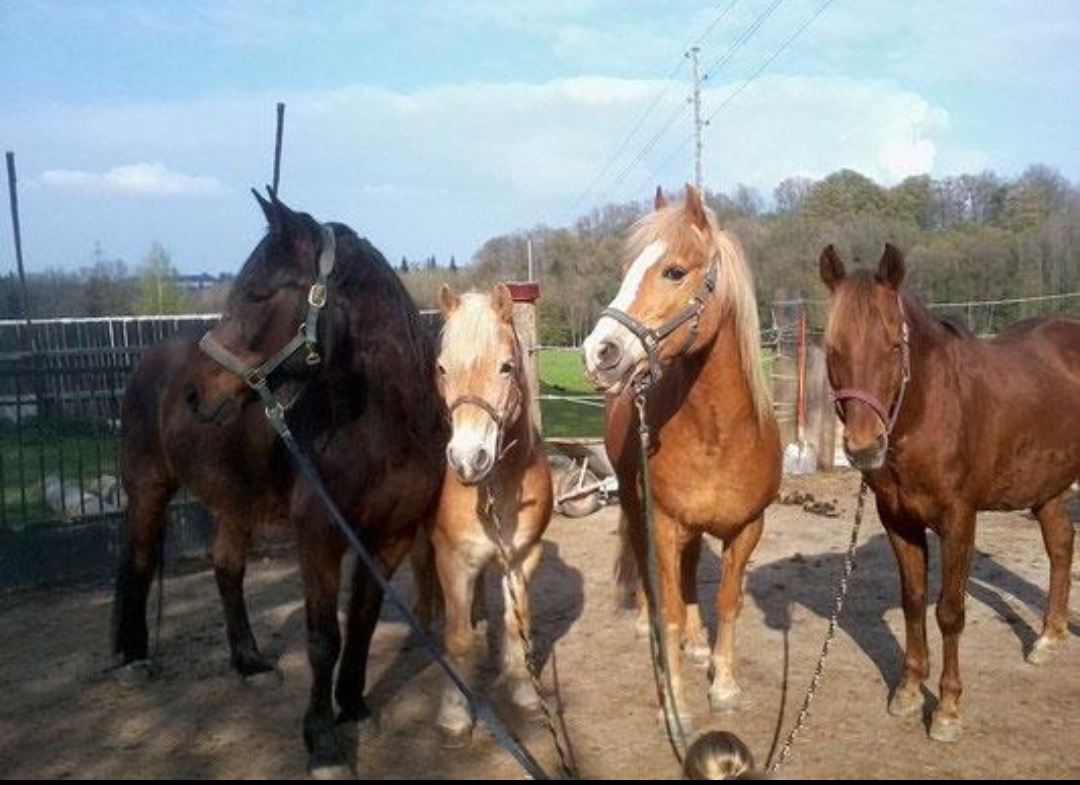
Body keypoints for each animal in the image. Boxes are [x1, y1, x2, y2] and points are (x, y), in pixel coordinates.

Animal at [112, 190, 448, 776]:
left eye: (256, 293)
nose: (196, 395)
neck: (383, 432)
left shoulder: (390, 538)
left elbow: (362, 621)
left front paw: (354, 708)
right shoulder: (319, 537)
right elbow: (323, 638)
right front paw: (322, 743)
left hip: (232, 503)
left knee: (227, 570)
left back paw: (249, 663)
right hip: (148, 490)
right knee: (138, 561)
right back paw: (134, 659)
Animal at [427, 282, 553, 746]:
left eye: (506, 367)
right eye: (441, 368)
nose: (468, 460)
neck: (497, 489)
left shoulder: (522, 558)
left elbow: (517, 624)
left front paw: (523, 692)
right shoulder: (452, 558)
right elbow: (458, 640)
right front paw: (454, 713)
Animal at [582, 184, 781, 729]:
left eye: (674, 271)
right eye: (627, 266)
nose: (599, 352)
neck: (719, 434)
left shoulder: (746, 528)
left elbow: (727, 602)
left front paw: (725, 685)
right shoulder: (665, 523)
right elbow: (668, 606)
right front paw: (673, 704)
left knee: (690, 572)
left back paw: (695, 644)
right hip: (637, 507)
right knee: (650, 574)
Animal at [819, 242, 1080, 742]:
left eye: (894, 346)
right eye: (832, 348)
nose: (864, 448)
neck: (929, 406)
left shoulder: (959, 520)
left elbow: (949, 612)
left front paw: (947, 709)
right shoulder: (898, 520)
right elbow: (913, 602)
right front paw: (908, 690)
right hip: (1048, 484)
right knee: (1060, 543)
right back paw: (1049, 638)